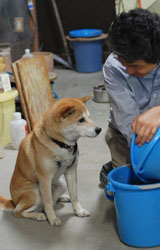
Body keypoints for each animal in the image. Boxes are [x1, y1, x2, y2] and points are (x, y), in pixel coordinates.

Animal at [0, 96, 101, 226]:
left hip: (62, 184)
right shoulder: (45, 178)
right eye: (81, 120)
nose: (99, 129)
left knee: (50, 202)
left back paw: (62, 198)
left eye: (89, 117)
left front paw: (79, 211)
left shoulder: (71, 171)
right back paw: (38, 215)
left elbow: (74, 196)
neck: (60, 144)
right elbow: (47, 202)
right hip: (35, 192)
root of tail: (13, 201)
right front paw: (52, 218)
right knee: (19, 212)